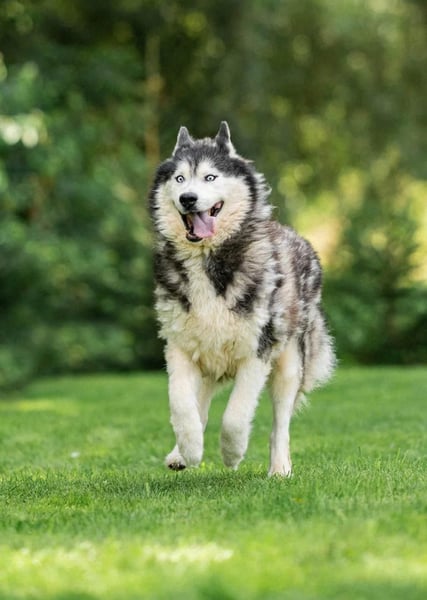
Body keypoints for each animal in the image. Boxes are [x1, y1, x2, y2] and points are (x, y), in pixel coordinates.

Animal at [149, 122, 335, 476]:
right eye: (179, 178)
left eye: (210, 177)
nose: (188, 198)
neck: (208, 260)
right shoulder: (179, 347)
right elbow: (181, 405)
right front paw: (189, 448)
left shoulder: (257, 351)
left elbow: (235, 416)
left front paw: (232, 454)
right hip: (207, 353)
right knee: (200, 403)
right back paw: (180, 453)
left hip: (289, 363)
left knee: (280, 423)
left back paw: (280, 468)